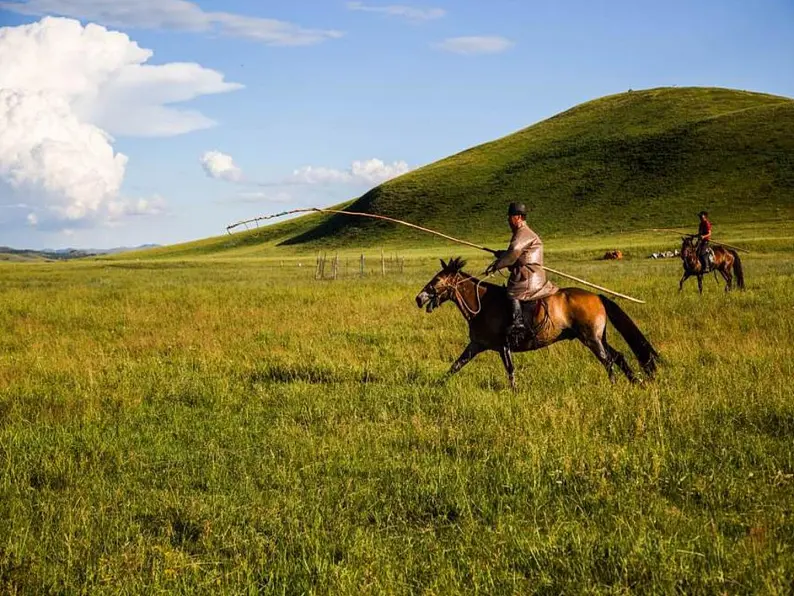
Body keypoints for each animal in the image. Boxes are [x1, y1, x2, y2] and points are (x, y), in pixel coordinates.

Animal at [412, 258, 660, 388]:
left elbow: (510, 370)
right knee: (618, 356)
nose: (419, 298)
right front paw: (437, 384)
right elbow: (455, 365)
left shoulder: (503, 346)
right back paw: (635, 382)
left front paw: (514, 393)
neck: (483, 304)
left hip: (591, 338)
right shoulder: (476, 345)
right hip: (599, 337)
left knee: (607, 360)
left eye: (437, 280)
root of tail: (597, 296)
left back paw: (614, 385)